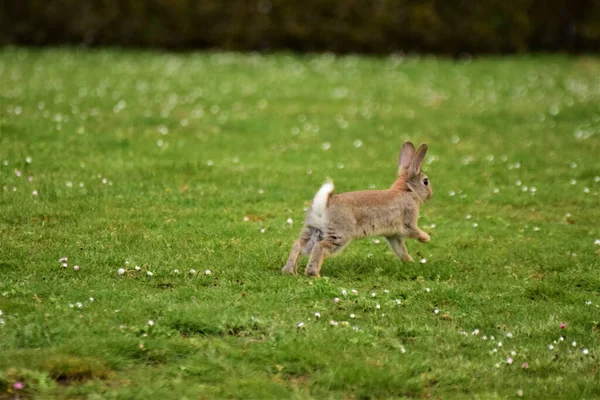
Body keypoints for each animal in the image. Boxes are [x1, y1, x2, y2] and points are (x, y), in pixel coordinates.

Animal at [282, 142, 432, 276]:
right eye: (425, 181)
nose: (431, 194)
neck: (407, 190)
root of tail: (324, 204)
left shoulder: (392, 235)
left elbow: (400, 249)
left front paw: (410, 261)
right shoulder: (408, 221)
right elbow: (414, 231)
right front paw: (426, 238)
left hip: (313, 229)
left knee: (299, 244)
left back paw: (290, 271)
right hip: (339, 234)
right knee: (320, 247)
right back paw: (313, 274)